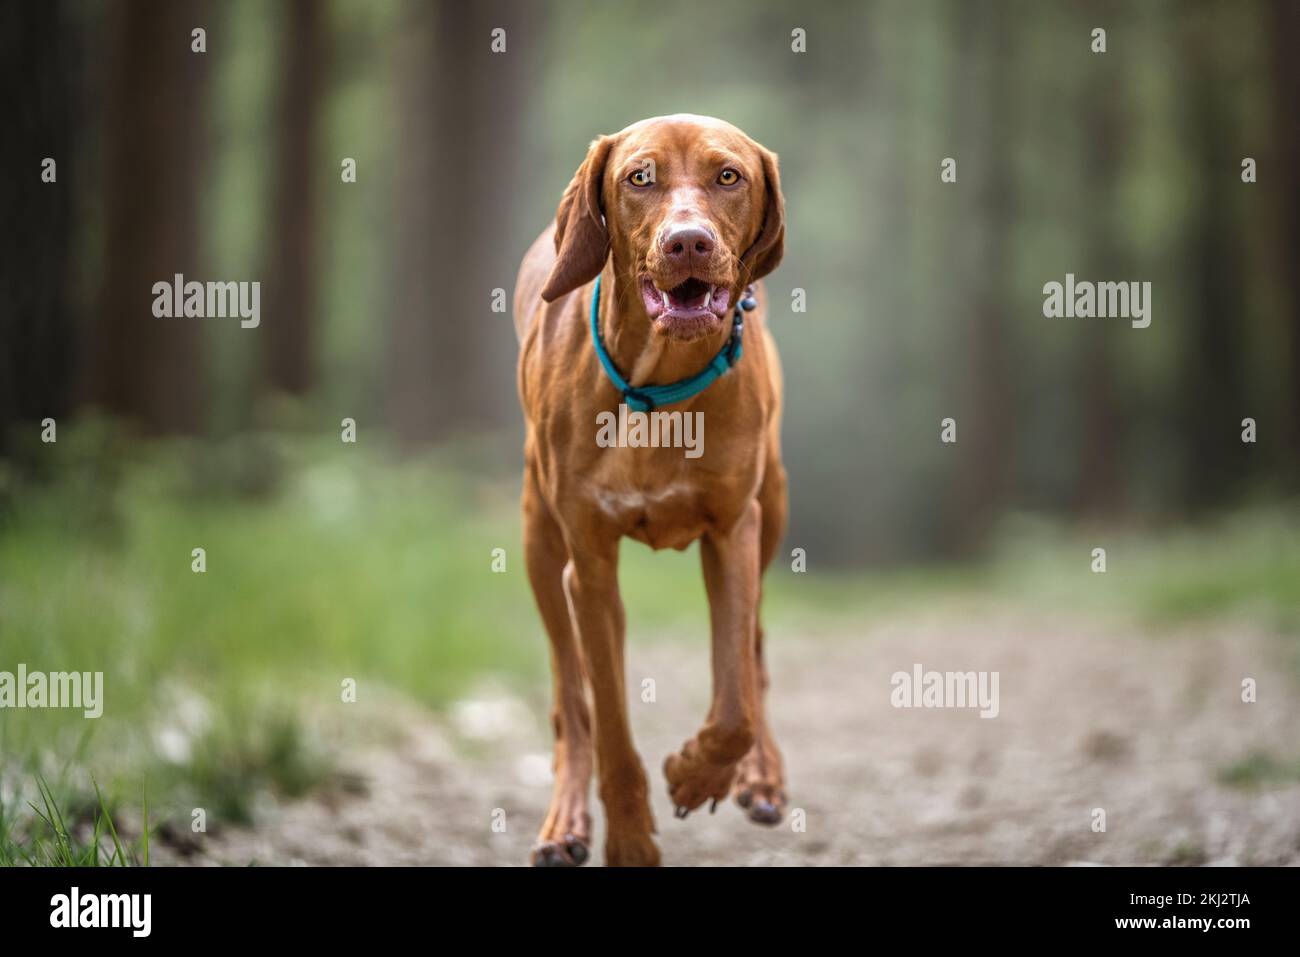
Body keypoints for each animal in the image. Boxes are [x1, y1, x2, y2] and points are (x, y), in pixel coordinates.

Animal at [512, 113, 785, 868]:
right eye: (640, 177)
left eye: (729, 175)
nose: (687, 240)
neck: (661, 390)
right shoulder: (590, 567)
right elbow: (607, 724)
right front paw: (630, 839)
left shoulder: (733, 533)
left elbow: (734, 705)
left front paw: (697, 773)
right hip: (539, 542)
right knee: (570, 699)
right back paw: (565, 820)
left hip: (774, 507)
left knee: (755, 652)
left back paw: (762, 775)